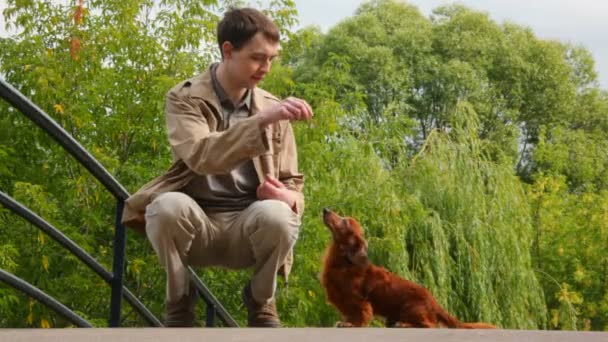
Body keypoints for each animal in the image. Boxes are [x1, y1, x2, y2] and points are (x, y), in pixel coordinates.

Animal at [320, 208, 496, 328]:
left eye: (345, 222)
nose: (325, 209)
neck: (344, 261)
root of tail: (434, 302)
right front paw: (345, 322)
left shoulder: (357, 299)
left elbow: (360, 314)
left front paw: (350, 324)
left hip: (410, 308)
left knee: (429, 325)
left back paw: (404, 324)